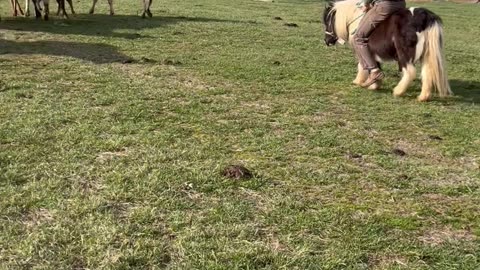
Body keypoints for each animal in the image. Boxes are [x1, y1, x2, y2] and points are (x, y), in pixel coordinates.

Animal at [320, 0, 452, 101]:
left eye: (327, 20)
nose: (327, 41)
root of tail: (425, 16)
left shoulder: (361, 48)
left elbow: (363, 66)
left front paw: (360, 82)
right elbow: (375, 66)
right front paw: (374, 84)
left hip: (404, 53)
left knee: (410, 72)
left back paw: (398, 91)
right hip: (426, 55)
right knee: (427, 73)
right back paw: (423, 97)